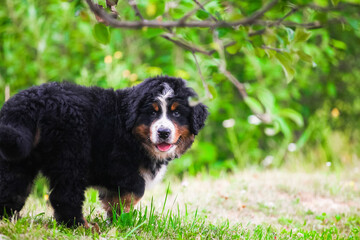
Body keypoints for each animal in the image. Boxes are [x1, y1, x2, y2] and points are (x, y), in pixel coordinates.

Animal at [0, 75, 208, 227]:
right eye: (152, 112)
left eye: (177, 113)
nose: (163, 132)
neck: (127, 126)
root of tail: (33, 102)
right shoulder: (117, 166)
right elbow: (135, 189)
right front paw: (124, 221)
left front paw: (117, 220)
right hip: (72, 154)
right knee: (65, 194)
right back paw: (79, 226)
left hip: (18, 157)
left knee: (12, 188)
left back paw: (9, 220)